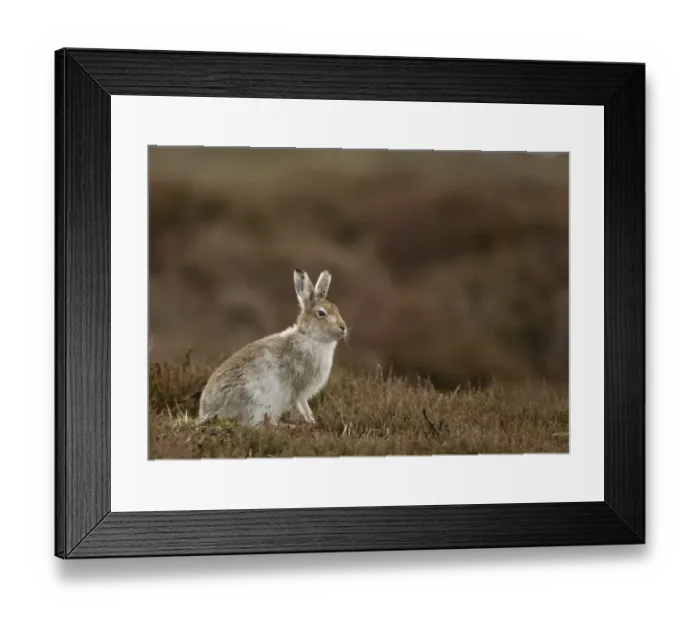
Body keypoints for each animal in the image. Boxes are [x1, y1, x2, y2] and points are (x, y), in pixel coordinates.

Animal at [198, 268, 348, 426]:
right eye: (321, 313)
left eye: (336, 308)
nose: (343, 327)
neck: (310, 337)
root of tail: (207, 411)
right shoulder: (298, 389)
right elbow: (302, 405)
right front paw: (311, 422)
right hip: (253, 402)